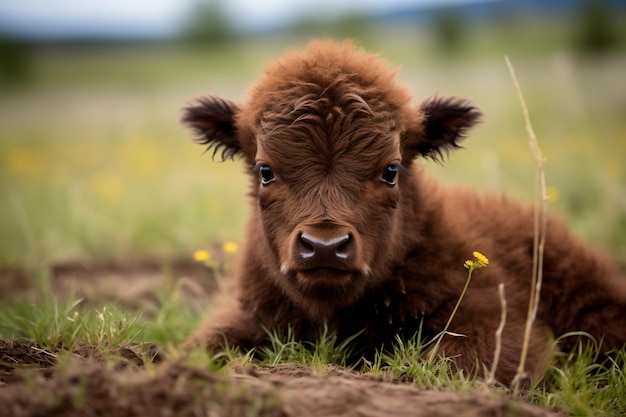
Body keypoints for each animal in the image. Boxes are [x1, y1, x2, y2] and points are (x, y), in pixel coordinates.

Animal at [183, 40, 624, 382]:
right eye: (265, 170)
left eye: (391, 170)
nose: (324, 246)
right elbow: (200, 348)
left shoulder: (496, 319)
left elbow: (456, 361)